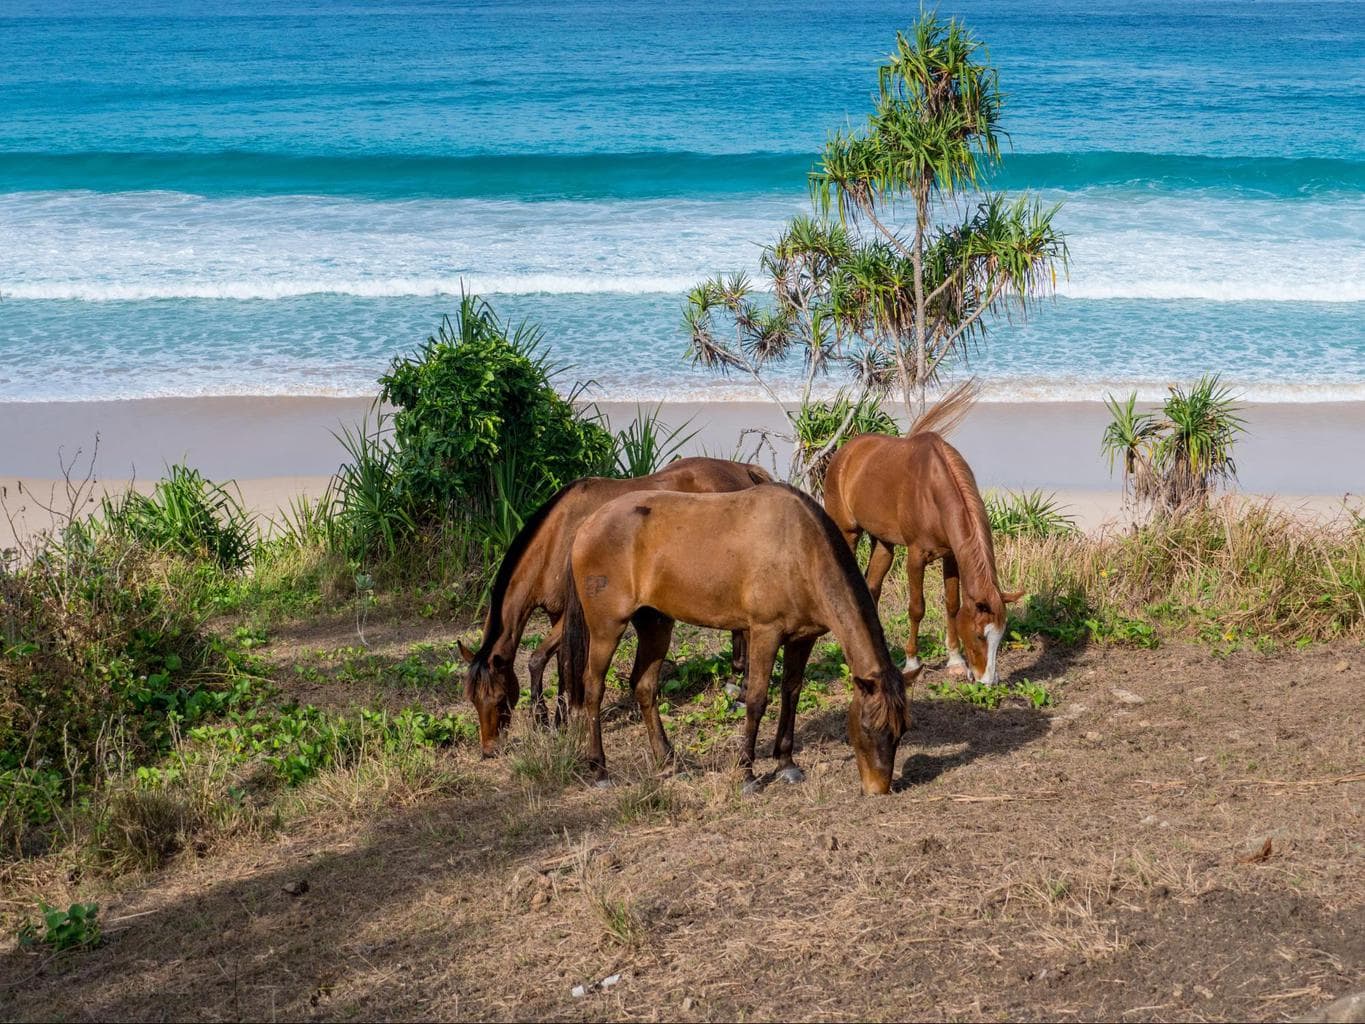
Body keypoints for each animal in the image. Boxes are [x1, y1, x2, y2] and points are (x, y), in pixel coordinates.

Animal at [464, 461, 775, 759]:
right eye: (473, 699)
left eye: (499, 698)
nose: (489, 750)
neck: (557, 538)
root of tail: (743, 470)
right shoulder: (558, 614)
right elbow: (557, 663)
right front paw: (556, 720)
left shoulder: (572, 616)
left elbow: (543, 659)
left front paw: (549, 719)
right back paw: (735, 679)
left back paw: (742, 689)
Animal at [554, 486, 917, 797]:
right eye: (869, 727)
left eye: (901, 730)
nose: (878, 789)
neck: (799, 548)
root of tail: (588, 524)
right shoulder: (764, 633)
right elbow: (756, 700)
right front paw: (747, 773)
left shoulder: (802, 638)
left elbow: (791, 693)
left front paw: (786, 763)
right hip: (607, 627)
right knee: (593, 687)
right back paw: (600, 770)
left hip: (656, 624)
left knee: (644, 687)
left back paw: (668, 759)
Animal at [819, 417, 1026, 690]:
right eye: (979, 634)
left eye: (1000, 635)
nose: (987, 681)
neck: (931, 491)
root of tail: (845, 452)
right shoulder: (916, 557)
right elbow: (917, 608)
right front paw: (912, 662)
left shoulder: (951, 556)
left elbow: (952, 604)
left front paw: (955, 661)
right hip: (848, 532)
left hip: (883, 543)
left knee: (872, 587)